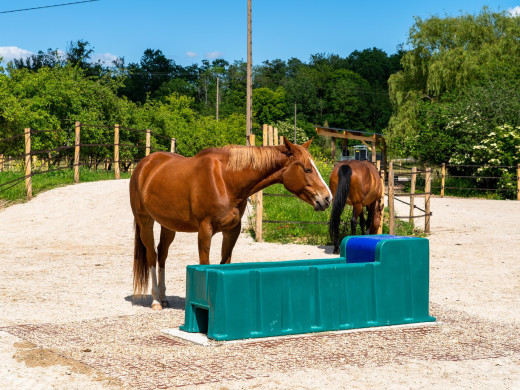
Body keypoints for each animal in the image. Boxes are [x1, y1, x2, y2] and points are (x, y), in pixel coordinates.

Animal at [128, 139, 332, 310]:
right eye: (307, 169)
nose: (327, 198)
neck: (225, 180)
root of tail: (144, 165)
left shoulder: (232, 231)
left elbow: (224, 263)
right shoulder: (205, 230)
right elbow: (205, 263)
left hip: (168, 225)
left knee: (162, 254)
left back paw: (163, 297)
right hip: (145, 221)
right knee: (152, 255)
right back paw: (156, 300)